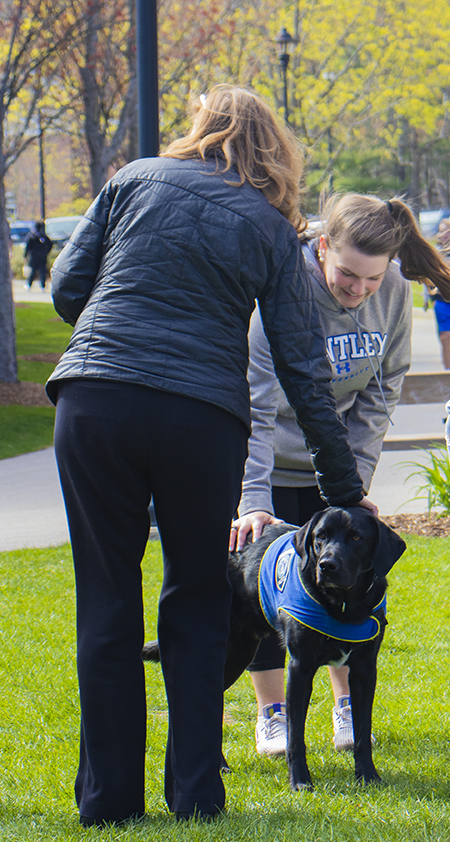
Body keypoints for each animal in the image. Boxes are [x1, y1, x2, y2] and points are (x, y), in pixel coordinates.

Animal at [142, 506, 406, 788]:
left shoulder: (364, 671)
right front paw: (300, 781)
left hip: (239, 654)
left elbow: (362, 732)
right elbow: (296, 737)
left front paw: (368, 775)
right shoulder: (300, 669)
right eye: (320, 537)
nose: (327, 565)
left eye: (356, 537)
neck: (344, 605)